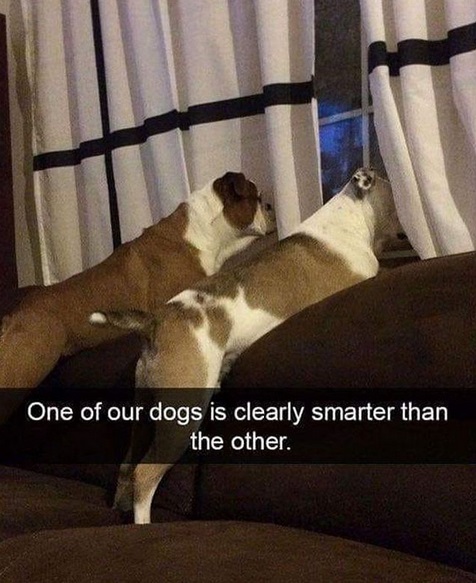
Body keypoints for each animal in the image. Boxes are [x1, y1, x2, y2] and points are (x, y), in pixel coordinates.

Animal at [91, 168, 404, 524]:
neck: (349, 214)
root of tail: (156, 321)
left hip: (144, 412)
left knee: (127, 464)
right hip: (182, 412)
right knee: (144, 474)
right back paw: (144, 523)